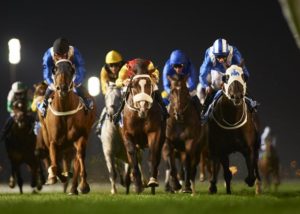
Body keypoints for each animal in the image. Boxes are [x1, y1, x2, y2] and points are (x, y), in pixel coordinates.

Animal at [38, 59, 95, 195]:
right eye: (55, 70)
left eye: (71, 70)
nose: (62, 87)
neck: (64, 110)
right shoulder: (53, 141)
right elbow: (54, 163)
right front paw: (55, 177)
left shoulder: (80, 136)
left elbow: (80, 158)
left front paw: (84, 185)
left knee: (77, 160)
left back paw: (74, 188)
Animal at [120, 58, 165, 194]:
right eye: (133, 86)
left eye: (149, 85)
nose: (143, 108)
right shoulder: (127, 134)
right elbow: (132, 156)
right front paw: (138, 185)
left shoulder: (154, 132)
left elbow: (153, 154)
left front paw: (152, 181)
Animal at [207, 65, 262, 194]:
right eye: (226, 77)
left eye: (243, 76)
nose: (236, 96)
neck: (232, 120)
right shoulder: (222, 149)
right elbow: (227, 173)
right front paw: (227, 190)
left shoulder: (249, 148)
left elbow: (251, 175)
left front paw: (250, 180)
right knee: (215, 162)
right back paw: (213, 186)